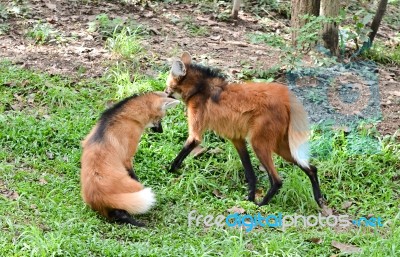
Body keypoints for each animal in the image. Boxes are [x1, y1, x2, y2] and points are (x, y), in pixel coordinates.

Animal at [81, 91, 180, 225]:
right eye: (160, 118)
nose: (161, 131)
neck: (127, 116)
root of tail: (98, 196)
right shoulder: (127, 157)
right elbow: (133, 172)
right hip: (135, 188)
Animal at [166, 52, 324, 208]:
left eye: (168, 85)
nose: (164, 91)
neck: (199, 88)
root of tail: (286, 100)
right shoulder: (237, 139)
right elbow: (250, 174)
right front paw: (249, 199)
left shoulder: (196, 134)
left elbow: (185, 149)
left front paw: (169, 170)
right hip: (280, 146)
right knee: (311, 168)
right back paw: (319, 200)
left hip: (258, 143)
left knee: (277, 180)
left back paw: (261, 205)